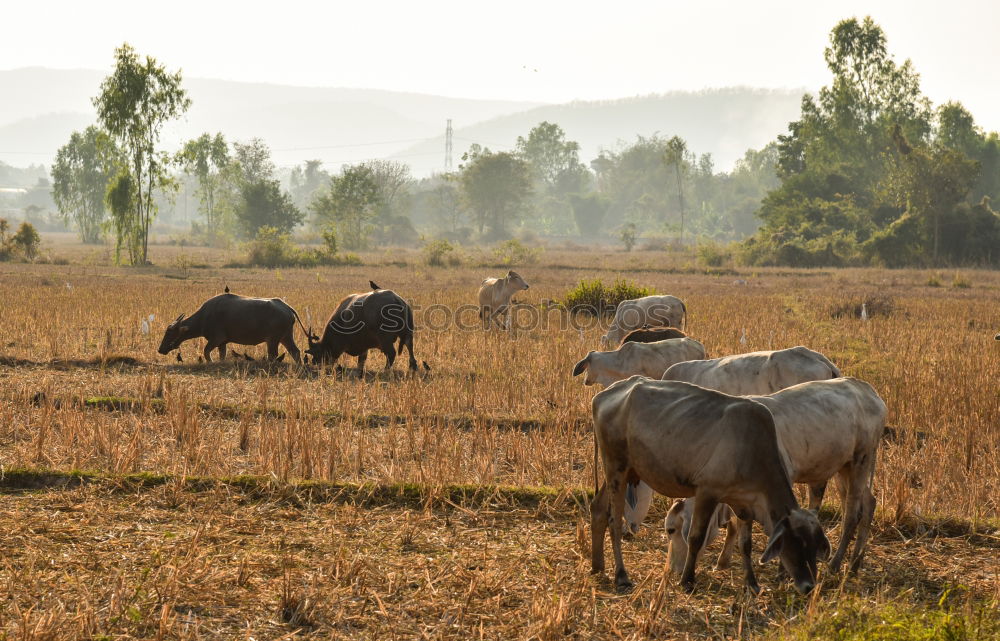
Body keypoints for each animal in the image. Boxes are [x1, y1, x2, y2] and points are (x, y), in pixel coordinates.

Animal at [156, 292, 302, 362]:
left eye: (170, 333)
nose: (160, 349)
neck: (204, 316)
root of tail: (286, 307)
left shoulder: (216, 339)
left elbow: (206, 351)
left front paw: (211, 362)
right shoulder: (222, 343)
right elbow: (222, 355)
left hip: (273, 340)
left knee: (273, 354)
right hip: (286, 337)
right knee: (295, 351)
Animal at [664, 378, 892, 572]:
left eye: (671, 530)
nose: (673, 570)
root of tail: (866, 389)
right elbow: (734, 526)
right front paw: (722, 562)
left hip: (861, 460)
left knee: (853, 513)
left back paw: (836, 563)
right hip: (844, 467)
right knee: (868, 503)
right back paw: (855, 562)